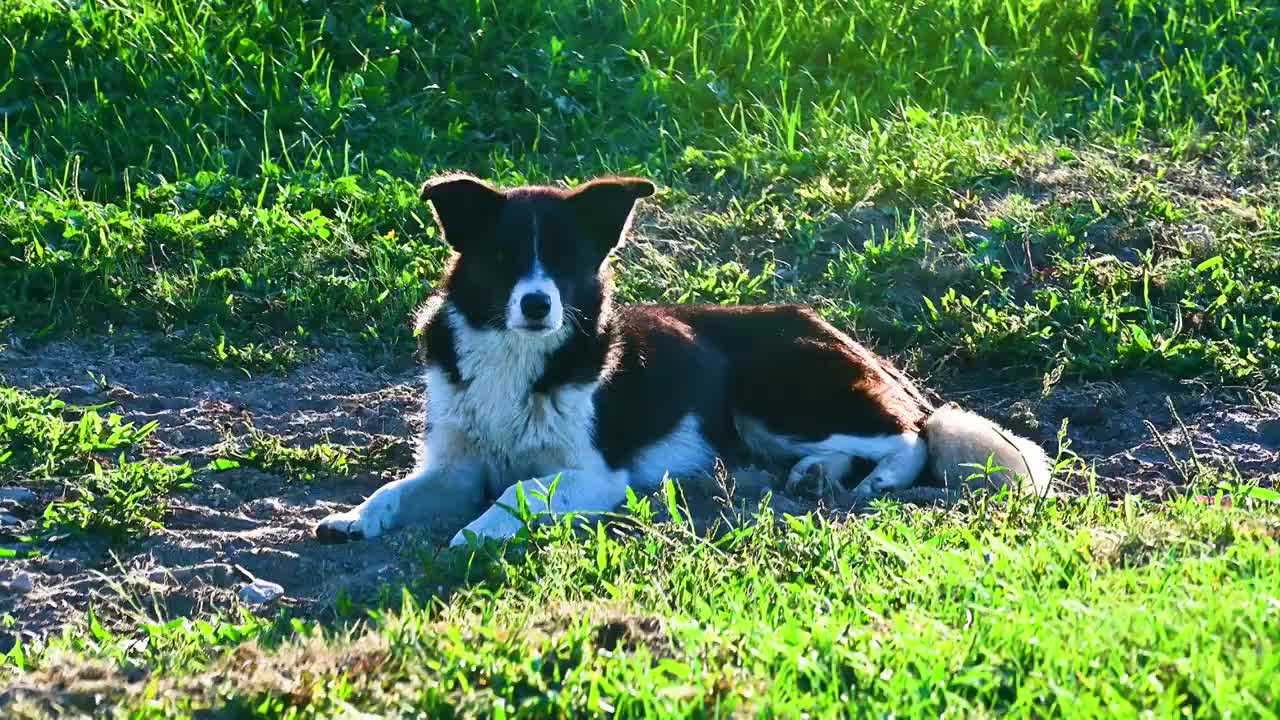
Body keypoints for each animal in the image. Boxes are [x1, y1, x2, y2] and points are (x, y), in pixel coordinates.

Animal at [312, 174, 1049, 543]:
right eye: (503, 257)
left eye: (568, 261)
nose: (538, 305)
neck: (518, 356)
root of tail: (826, 326)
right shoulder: (456, 465)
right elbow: (396, 490)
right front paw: (355, 519)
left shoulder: (595, 476)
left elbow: (516, 491)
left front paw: (477, 533)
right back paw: (815, 475)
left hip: (778, 391)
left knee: (911, 434)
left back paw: (875, 479)